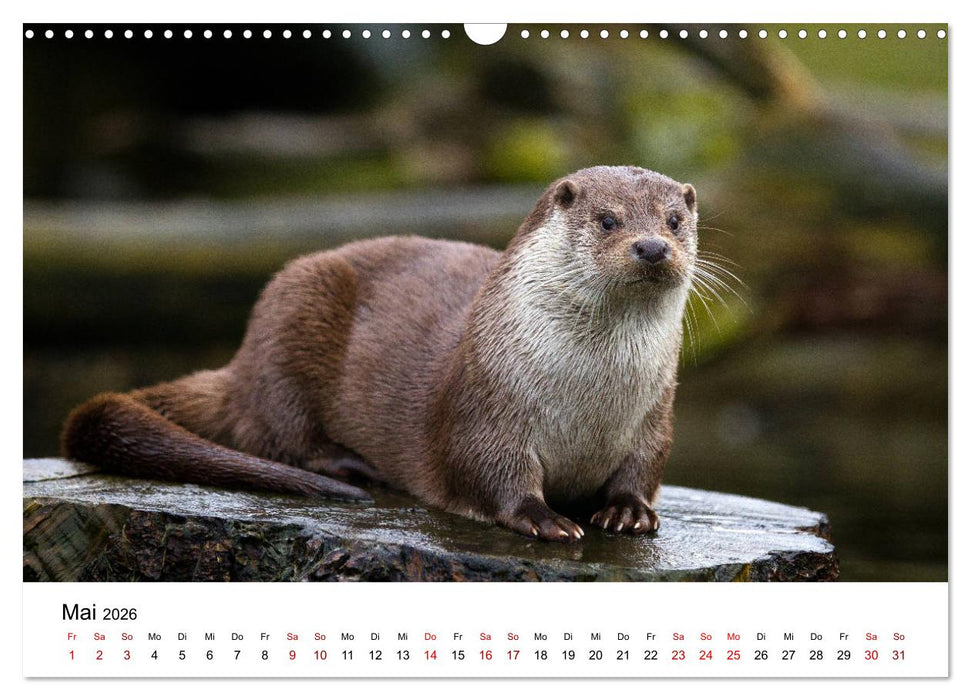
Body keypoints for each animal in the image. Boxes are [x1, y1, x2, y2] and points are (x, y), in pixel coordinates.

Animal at [62, 165, 698, 542]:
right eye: (608, 220)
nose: (652, 247)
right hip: (293, 313)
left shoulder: (656, 414)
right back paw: (351, 466)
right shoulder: (486, 405)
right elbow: (489, 471)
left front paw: (628, 511)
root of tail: (240, 365)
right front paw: (545, 519)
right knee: (274, 433)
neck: (590, 398)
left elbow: (646, 465)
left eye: (675, 221)